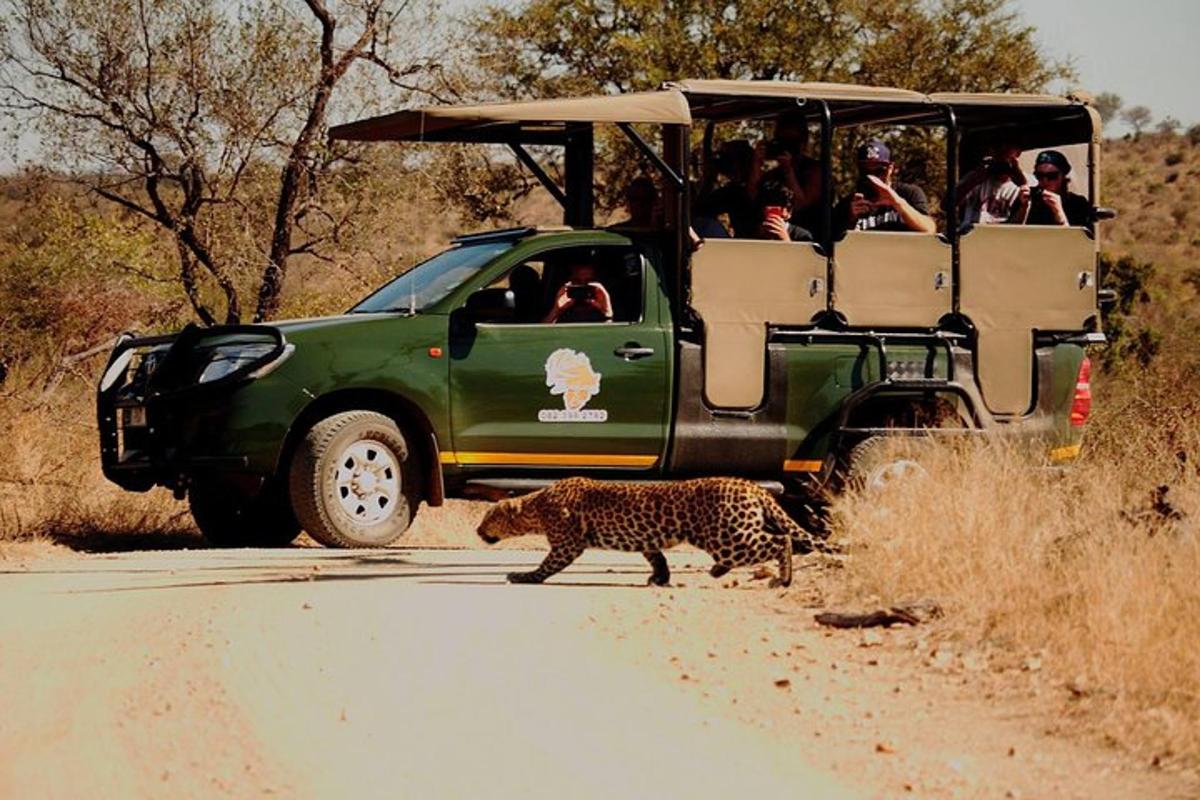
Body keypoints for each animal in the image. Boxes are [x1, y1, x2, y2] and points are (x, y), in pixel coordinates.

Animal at [472, 474, 830, 587]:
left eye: (488, 517)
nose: (477, 530)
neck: (537, 505)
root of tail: (751, 486)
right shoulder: (645, 539)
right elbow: (657, 557)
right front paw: (660, 579)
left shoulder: (566, 544)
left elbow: (546, 566)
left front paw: (523, 576)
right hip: (733, 533)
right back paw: (717, 571)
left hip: (728, 536)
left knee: (781, 540)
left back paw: (783, 578)